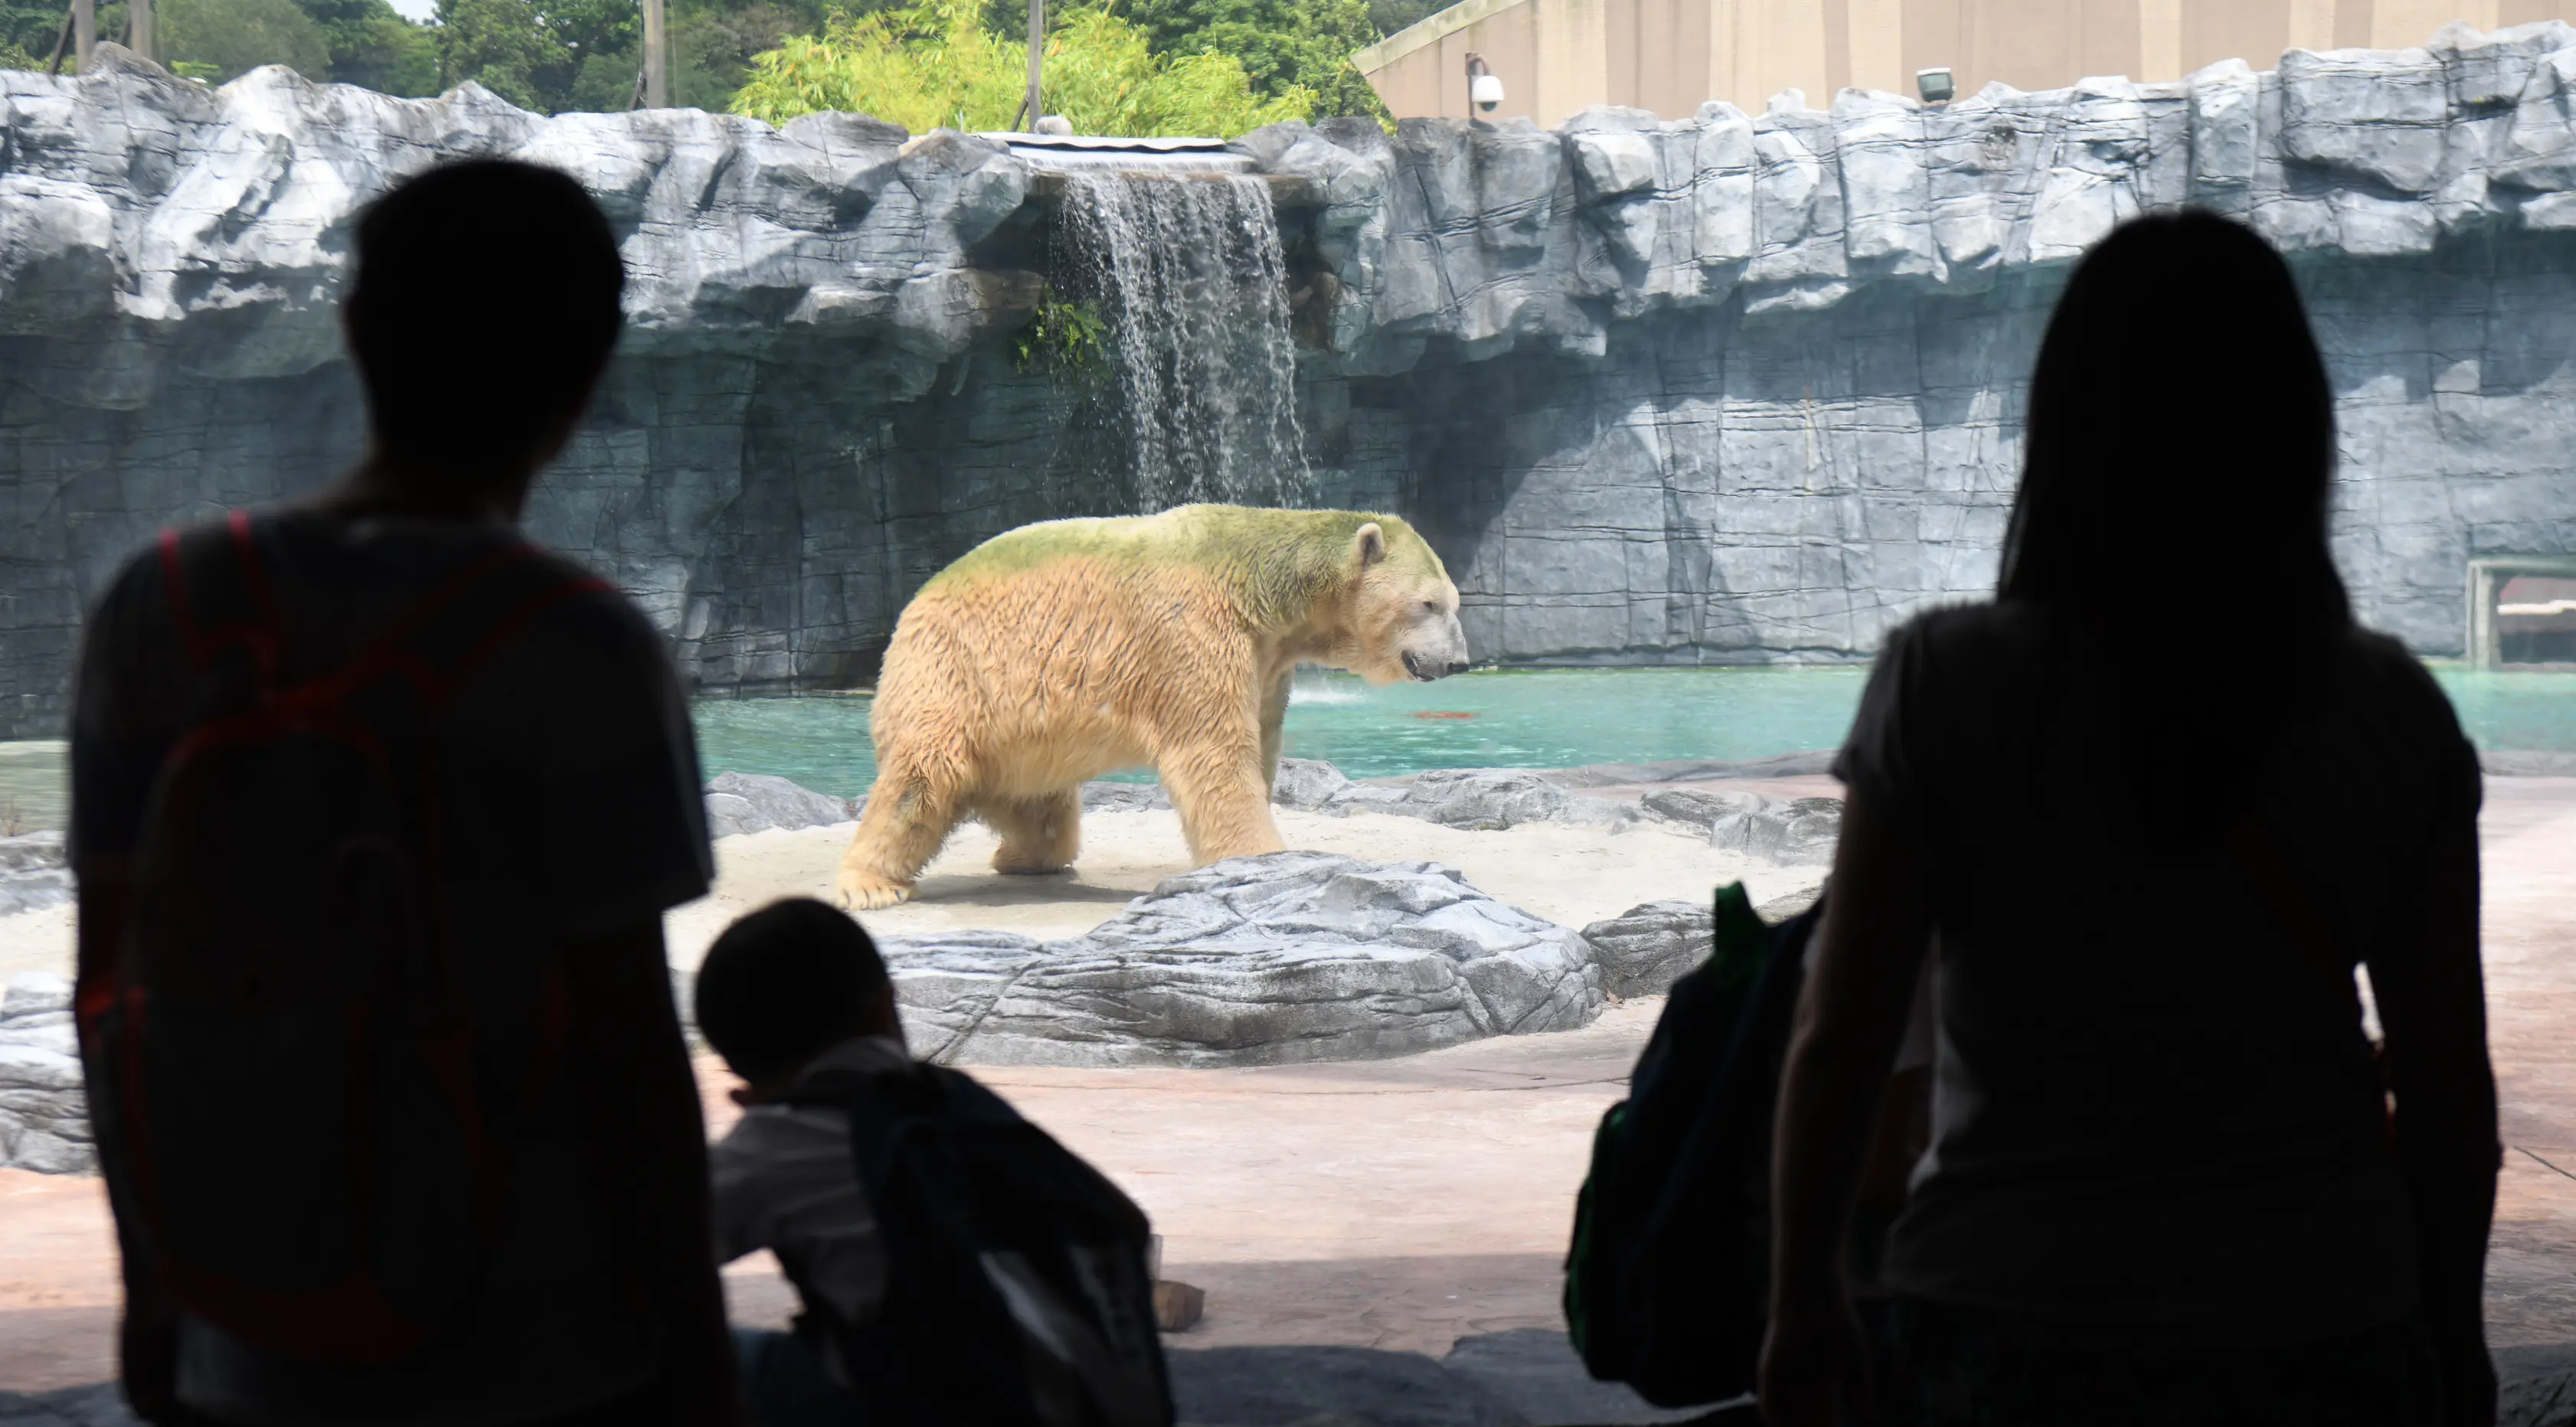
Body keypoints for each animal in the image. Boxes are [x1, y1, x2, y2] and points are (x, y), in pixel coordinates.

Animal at [834, 505, 1463, 906]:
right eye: (1429, 604)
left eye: (1453, 601)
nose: (1458, 661)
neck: (1260, 586)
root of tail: (913, 606)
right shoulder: (1193, 630)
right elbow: (1214, 751)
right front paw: (1261, 857)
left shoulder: (1266, 659)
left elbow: (1260, 742)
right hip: (955, 674)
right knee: (923, 775)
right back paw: (870, 883)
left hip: (1021, 734)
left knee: (1035, 804)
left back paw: (1024, 855)